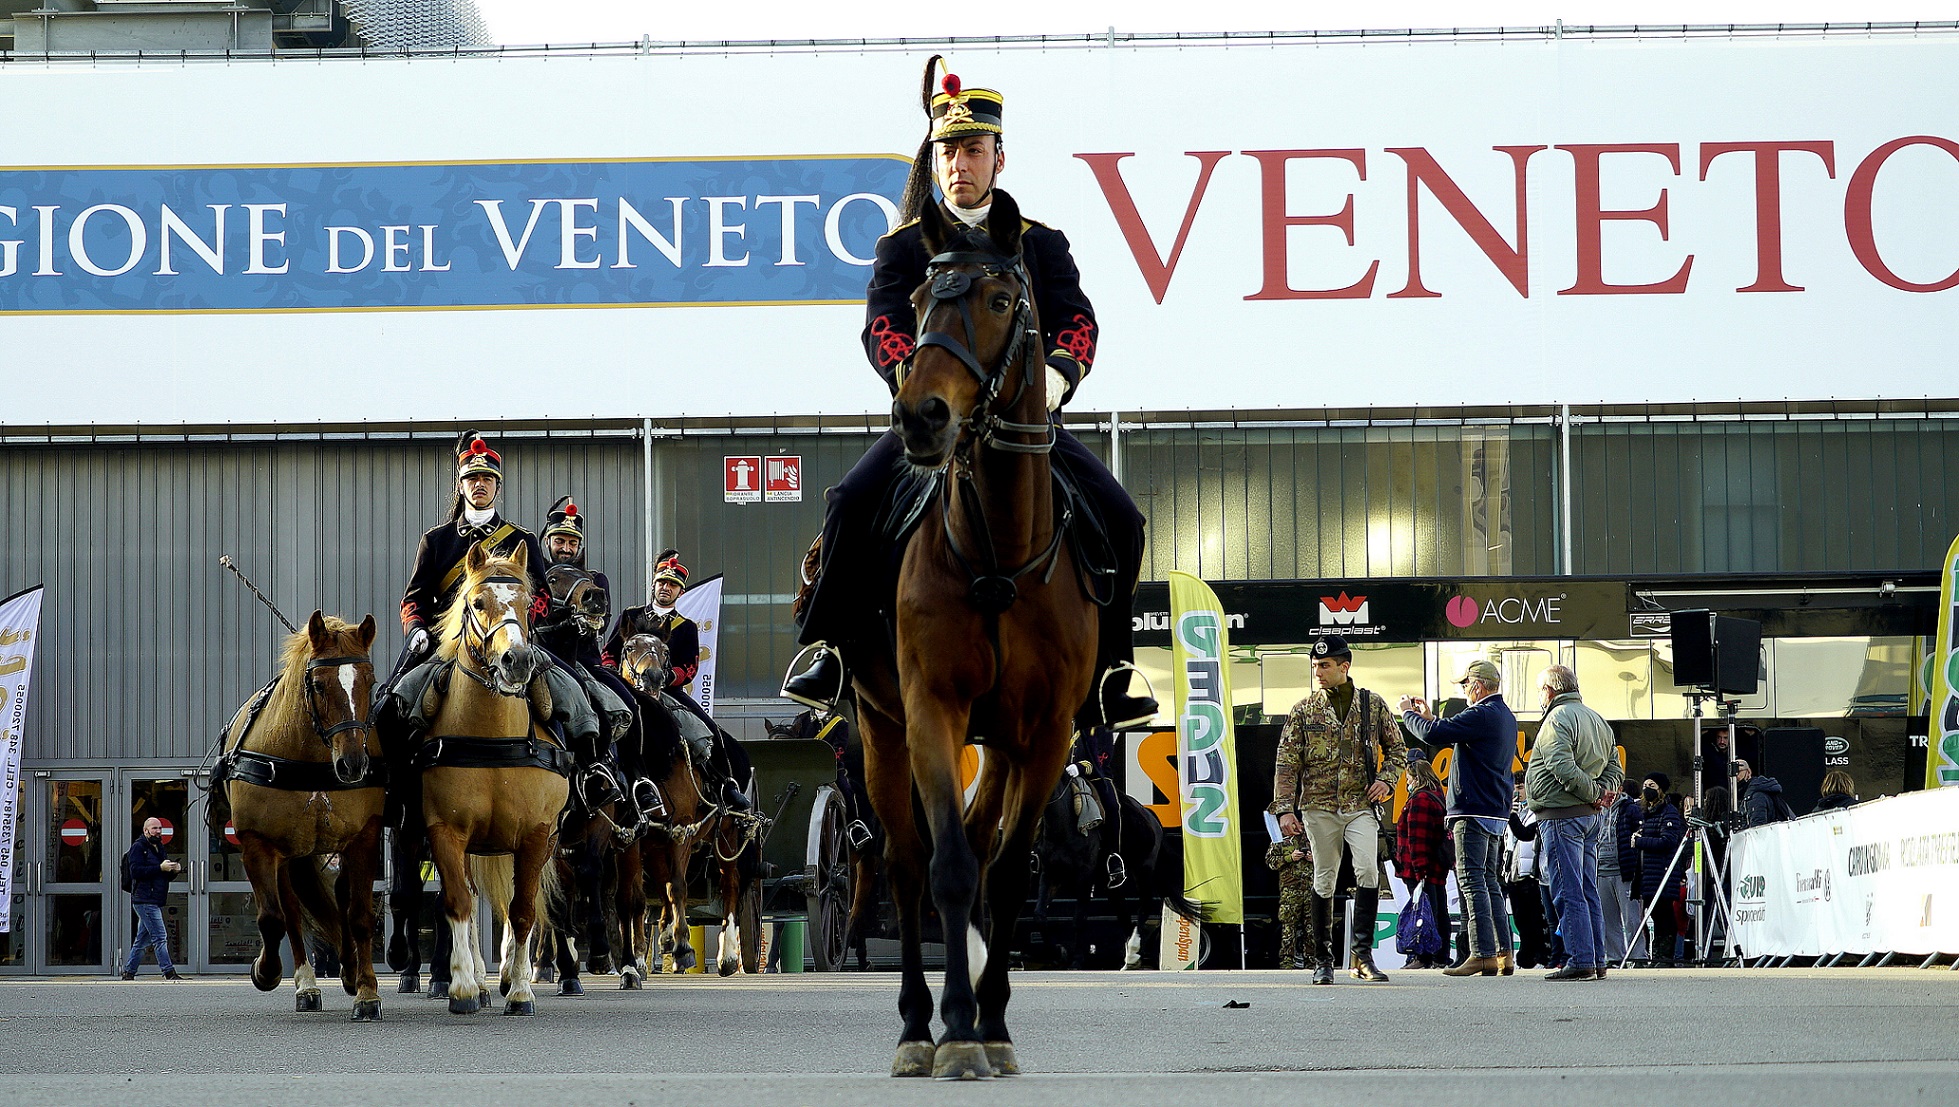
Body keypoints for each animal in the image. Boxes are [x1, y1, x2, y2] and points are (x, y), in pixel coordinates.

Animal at [214, 611, 385, 1018]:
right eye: (319, 685)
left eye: (370, 683)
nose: (353, 765)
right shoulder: (259, 845)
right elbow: (273, 918)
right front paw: (266, 970)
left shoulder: (364, 838)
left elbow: (359, 916)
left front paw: (367, 992)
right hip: (288, 855)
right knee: (290, 913)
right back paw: (306, 985)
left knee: (338, 900)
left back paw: (349, 970)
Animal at [413, 540, 568, 1010]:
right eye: (477, 602)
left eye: (529, 604)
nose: (517, 660)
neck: (492, 739)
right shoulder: (445, 832)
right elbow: (460, 902)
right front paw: (463, 985)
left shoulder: (536, 834)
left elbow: (523, 909)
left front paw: (519, 989)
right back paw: (481, 980)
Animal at [858, 192, 1104, 1081]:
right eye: (916, 301)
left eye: (1002, 299)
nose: (921, 416)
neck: (998, 553)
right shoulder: (931, 709)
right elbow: (950, 869)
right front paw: (955, 1030)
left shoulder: (1046, 732)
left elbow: (1001, 877)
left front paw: (992, 1024)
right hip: (881, 729)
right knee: (903, 867)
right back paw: (910, 1026)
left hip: (999, 746)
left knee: (983, 842)